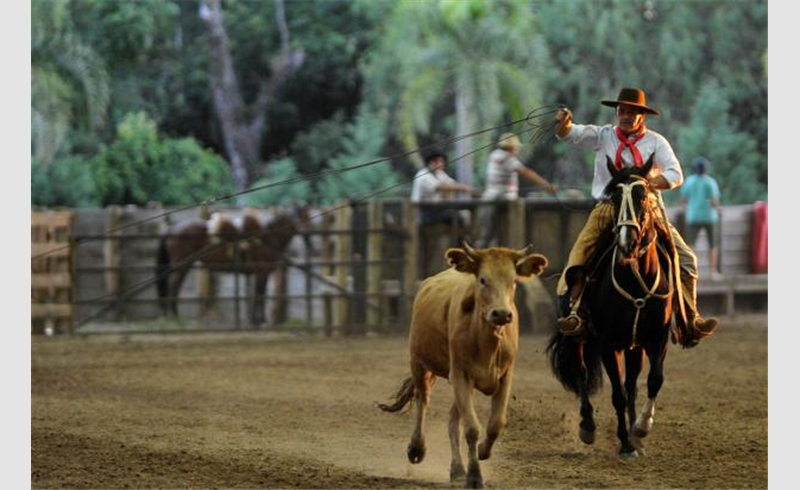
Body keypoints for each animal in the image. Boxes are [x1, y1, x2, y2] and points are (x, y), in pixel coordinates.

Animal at [156, 206, 310, 326]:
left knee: (174, 288)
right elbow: (259, 295)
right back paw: (174, 317)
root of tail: (172, 228)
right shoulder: (261, 273)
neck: (267, 240)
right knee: (173, 287)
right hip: (181, 266)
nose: (307, 234)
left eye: (307, 216)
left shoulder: (263, 274)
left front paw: (261, 320)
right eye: (299, 216)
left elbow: (261, 295)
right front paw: (256, 321)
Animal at [380, 243, 544, 488]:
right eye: (483, 279)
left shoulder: (505, 375)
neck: (486, 341)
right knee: (423, 399)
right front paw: (475, 476)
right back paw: (417, 448)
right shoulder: (459, 373)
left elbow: (495, 423)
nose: (502, 313)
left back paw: (457, 469)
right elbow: (472, 428)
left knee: (452, 421)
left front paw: (483, 452)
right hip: (418, 362)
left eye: (513, 280)